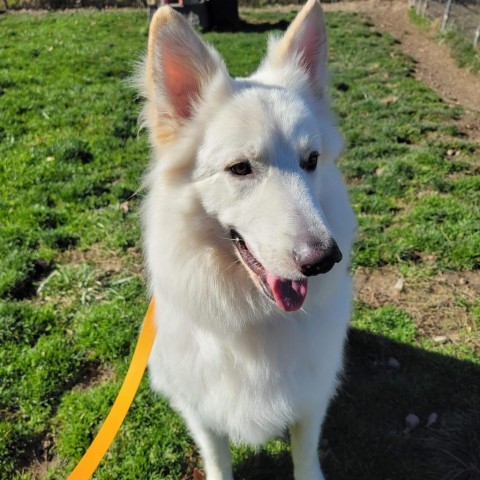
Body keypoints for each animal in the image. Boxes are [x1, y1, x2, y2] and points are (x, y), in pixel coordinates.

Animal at [139, 1, 356, 478]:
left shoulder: (311, 397)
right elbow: (217, 459)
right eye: (240, 168)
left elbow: (305, 453)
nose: (324, 260)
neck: (255, 317)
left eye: (311, 160)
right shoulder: (201, 412)